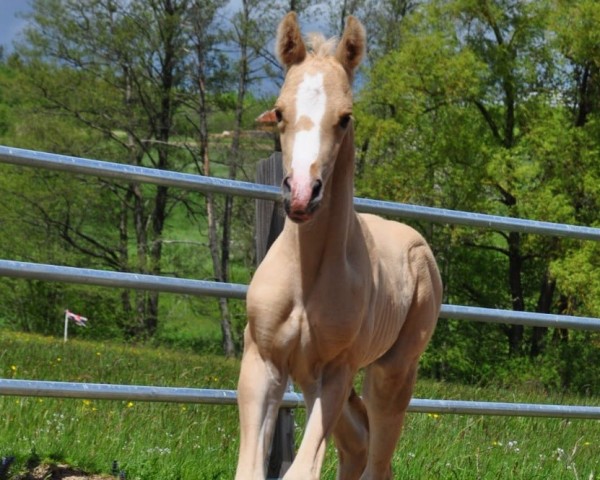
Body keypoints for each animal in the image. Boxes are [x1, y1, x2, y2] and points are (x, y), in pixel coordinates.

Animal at [237, 12, 442, 480]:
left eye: (345, 117)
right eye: (279, 112)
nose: (301, 195)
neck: (306, 276)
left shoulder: (336, 370)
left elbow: (301, 470)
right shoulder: (263, 361)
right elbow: (252, 469)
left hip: (390, 373)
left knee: (377, 454)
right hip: (311, 379)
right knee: (357, 442)